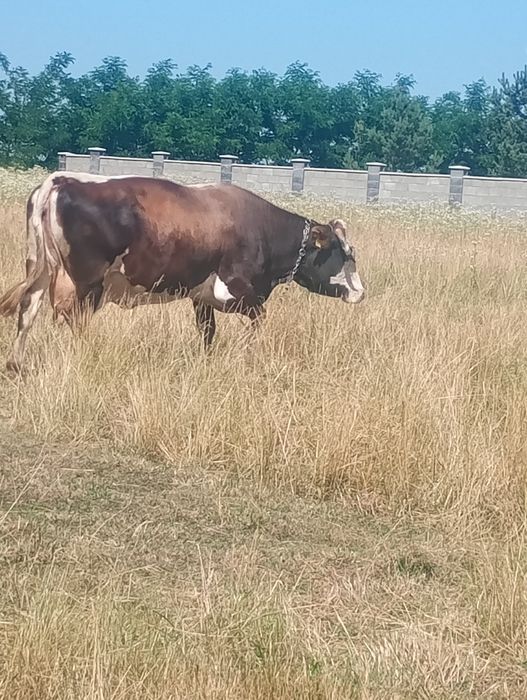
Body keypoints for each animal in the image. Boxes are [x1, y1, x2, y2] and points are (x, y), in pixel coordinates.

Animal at [0, 172, 364, 373]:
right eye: (344, 253)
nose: (360, 292)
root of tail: (59, 179)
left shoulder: (201, 297)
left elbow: (207, 332)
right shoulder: (232, 288)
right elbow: (259, 317)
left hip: (41, 269)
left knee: (28, 310)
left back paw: (17, 364)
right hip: (86, 282)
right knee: (75, 320)